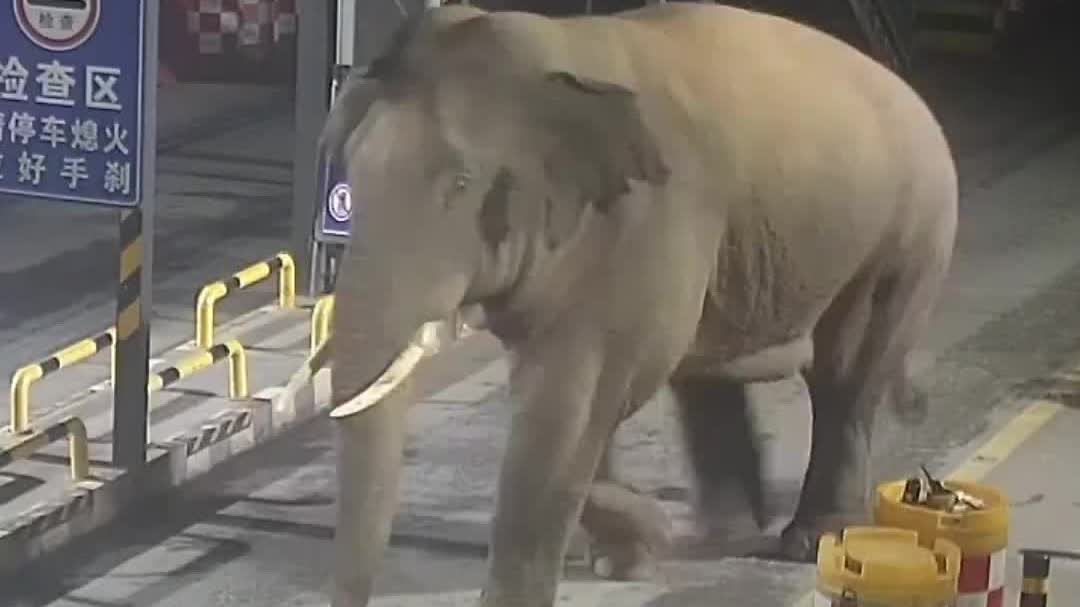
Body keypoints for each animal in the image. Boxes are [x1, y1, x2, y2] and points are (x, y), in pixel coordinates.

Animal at [290, 2, 958, 606]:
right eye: (351, 173)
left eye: (459, 184)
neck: (544, 53)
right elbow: (577, 405)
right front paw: (628, 553)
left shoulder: (640, 226)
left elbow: (575, 401)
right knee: (709, 378)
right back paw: (723, 533)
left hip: (906, 234)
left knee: (845, 374)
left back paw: (810, 540)